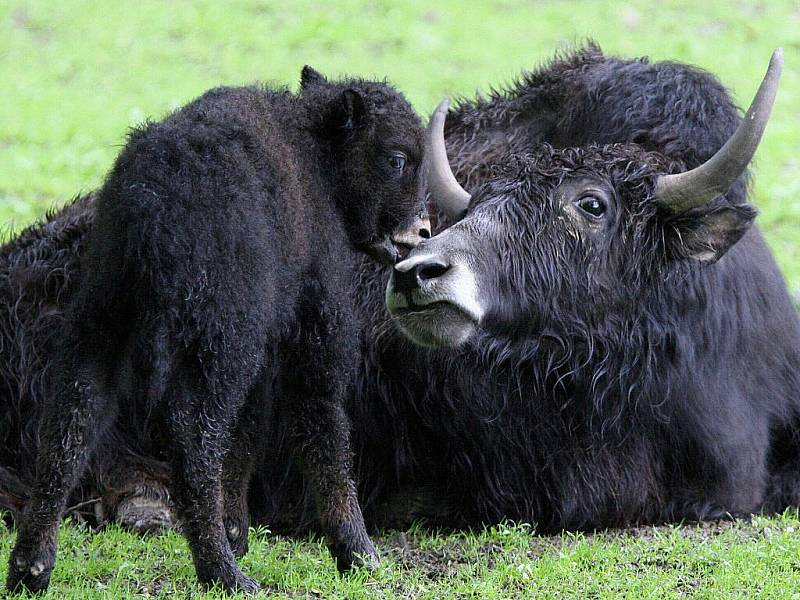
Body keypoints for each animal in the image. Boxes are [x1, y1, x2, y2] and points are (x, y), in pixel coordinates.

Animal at [6, 68, 428, 592]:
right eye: (397, 159)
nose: (422, 232)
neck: (317, 157)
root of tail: (152, 208)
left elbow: (247, 432)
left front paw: (237, 532)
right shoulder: (314, 320)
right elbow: (322, 424)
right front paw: (358, 553)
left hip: (104, 317)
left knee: (72, 419)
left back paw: (31, 568)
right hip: (220, 340)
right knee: (194, 442)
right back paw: (224, 573)